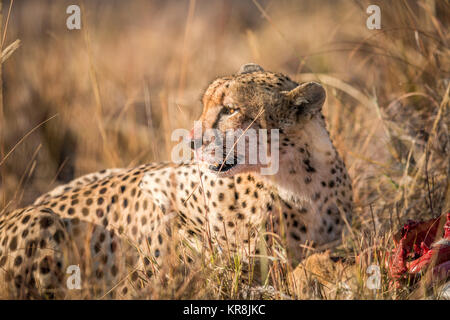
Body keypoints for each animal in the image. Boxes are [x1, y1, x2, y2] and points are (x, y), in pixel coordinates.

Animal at [0, 63, 352, 298]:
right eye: (206, 105)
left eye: (230, 109)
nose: (192, 141)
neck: (299, 177)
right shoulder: (157, 188)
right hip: (42, 216)